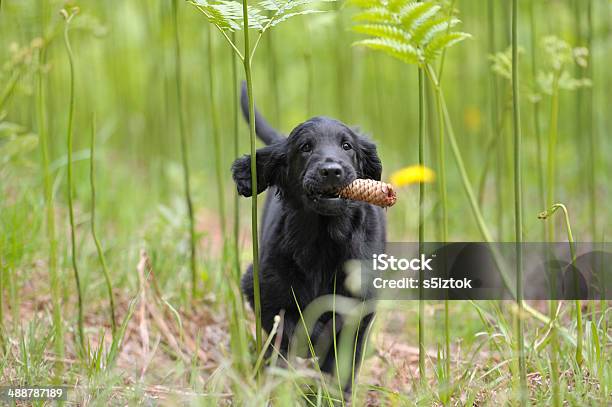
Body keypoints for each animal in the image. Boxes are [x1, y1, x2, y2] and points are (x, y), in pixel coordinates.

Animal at [232, 85, 384, 386]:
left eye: (347, 146)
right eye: (305, 147)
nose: (331, 171)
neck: (323, 240)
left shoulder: (361, 304)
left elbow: (341, 352)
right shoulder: (262, 290)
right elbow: (288, 331)